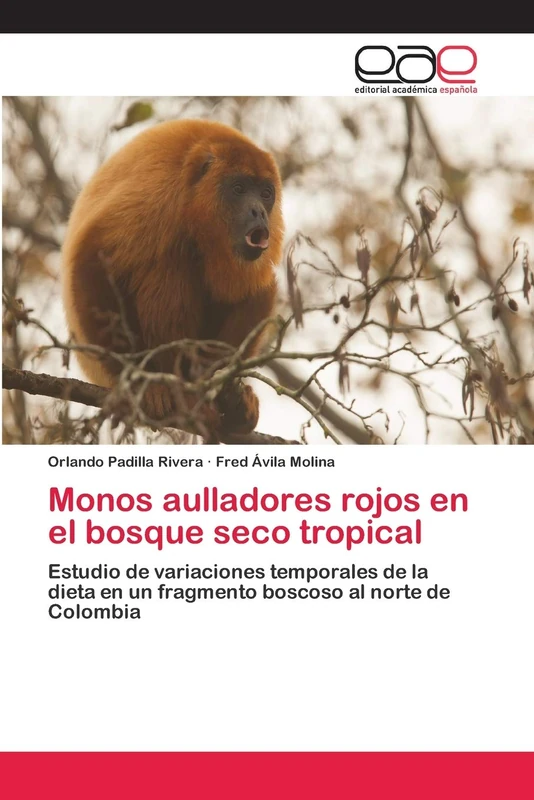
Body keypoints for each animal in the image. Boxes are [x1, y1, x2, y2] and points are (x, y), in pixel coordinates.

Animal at [61, 119, 284, 436]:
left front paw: (228, 394)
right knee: (170, 263)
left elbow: (254, 291)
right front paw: (142, 385)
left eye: (266, 193)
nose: (259, 212)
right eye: (239, 188)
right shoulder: (156, 192)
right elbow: (93, 259)